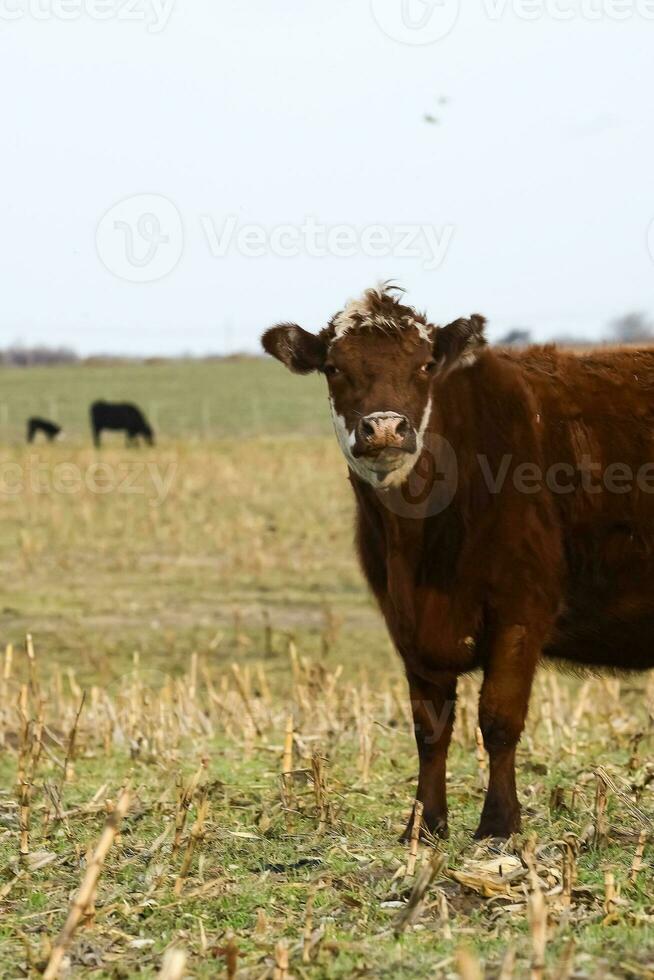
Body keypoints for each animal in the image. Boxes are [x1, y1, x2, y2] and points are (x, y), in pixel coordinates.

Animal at [262, 286, 654, 844]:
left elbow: (499, 719)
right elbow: (430, 727)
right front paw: (423, 825)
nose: (385, 427)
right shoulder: (405, 622)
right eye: (335, 367)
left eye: (425, 365)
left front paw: (498, 824)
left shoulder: (520, 609)